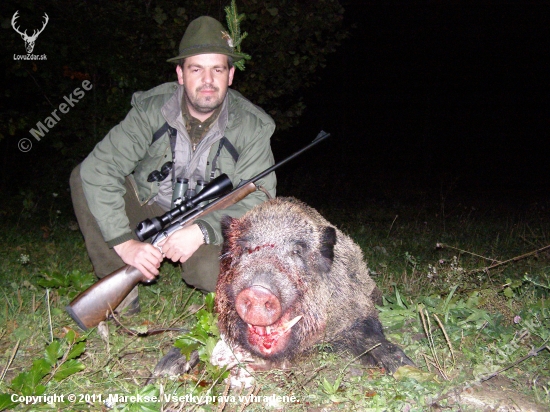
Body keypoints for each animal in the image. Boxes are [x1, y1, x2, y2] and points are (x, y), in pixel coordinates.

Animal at [214, 197, 414, 375]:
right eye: (246, 249)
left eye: (296, 251)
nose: (258, 291)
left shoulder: (357, 306)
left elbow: (370, 334)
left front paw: (405, 367)